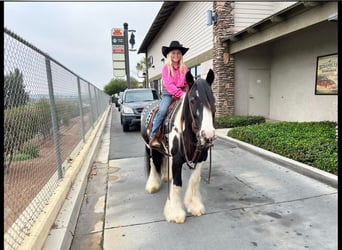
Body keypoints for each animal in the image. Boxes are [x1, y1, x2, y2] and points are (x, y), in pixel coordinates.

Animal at [140, 69, 215, 225]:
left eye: (213, 99)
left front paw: (194, 206)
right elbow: (177, 183)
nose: (208, 135)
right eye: (192, 100)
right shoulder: (176, 160)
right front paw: (175, 213)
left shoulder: (200, 159)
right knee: (153, 163)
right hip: (150, 147)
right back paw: (153, 185)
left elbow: (194, 180)